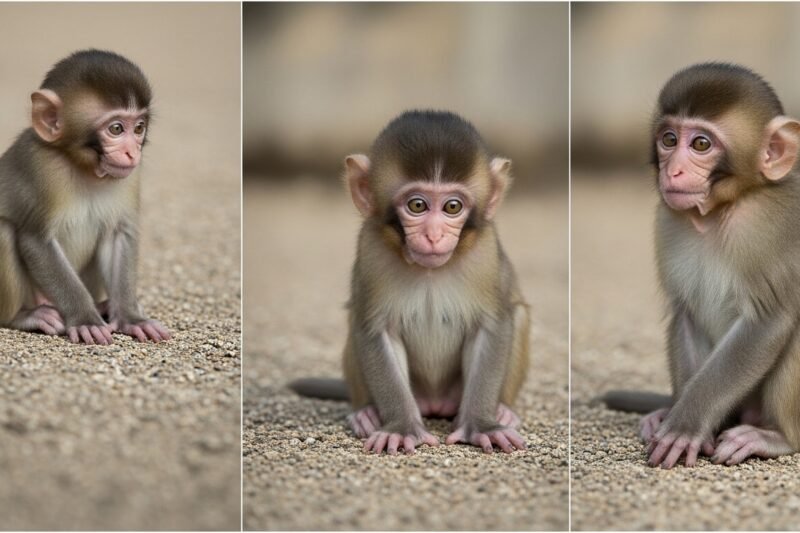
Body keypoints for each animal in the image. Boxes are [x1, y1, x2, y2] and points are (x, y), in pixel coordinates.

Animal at [0, 49, 170, 345]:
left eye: (138, 128)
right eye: (116, 129)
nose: (132, 153)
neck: (82, 167)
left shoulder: (130, 177)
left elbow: (117, 235)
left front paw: (131, 317)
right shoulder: (41, 167)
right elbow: (36, 240)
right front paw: (85, 319)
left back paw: (104, 305)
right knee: (4, 231)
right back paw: (23, 316)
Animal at [289, 110, 530, 455]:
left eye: (452, 206)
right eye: (417, 205)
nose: (434, 235)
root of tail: (434, 402)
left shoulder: (485, 254)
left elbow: (493, 324)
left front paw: (483, 425)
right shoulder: (372, 250)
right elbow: (375, 330)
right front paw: (401, 428)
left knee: (518, 313)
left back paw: (504, 410)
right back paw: (366, 412)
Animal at [603, 63, 800, 468]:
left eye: (700, 145)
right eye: (668, 139)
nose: (673, 172)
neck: (723, 210)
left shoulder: (768, 227)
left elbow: (769, 320)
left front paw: (684, 426)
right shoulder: (668, 221)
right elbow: (687, 314)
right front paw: (682, 422)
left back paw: (777, 437)